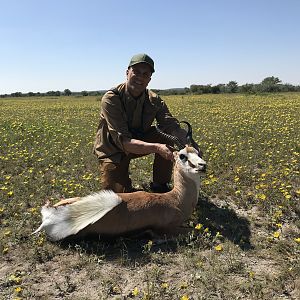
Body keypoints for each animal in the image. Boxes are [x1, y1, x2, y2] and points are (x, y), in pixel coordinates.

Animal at [32, 120, 206, 240]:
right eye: (182, 156)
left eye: (198, 153)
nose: (203, 165)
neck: (174, 200)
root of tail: (48, 219)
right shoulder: (167, 230)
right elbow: (197, 230)